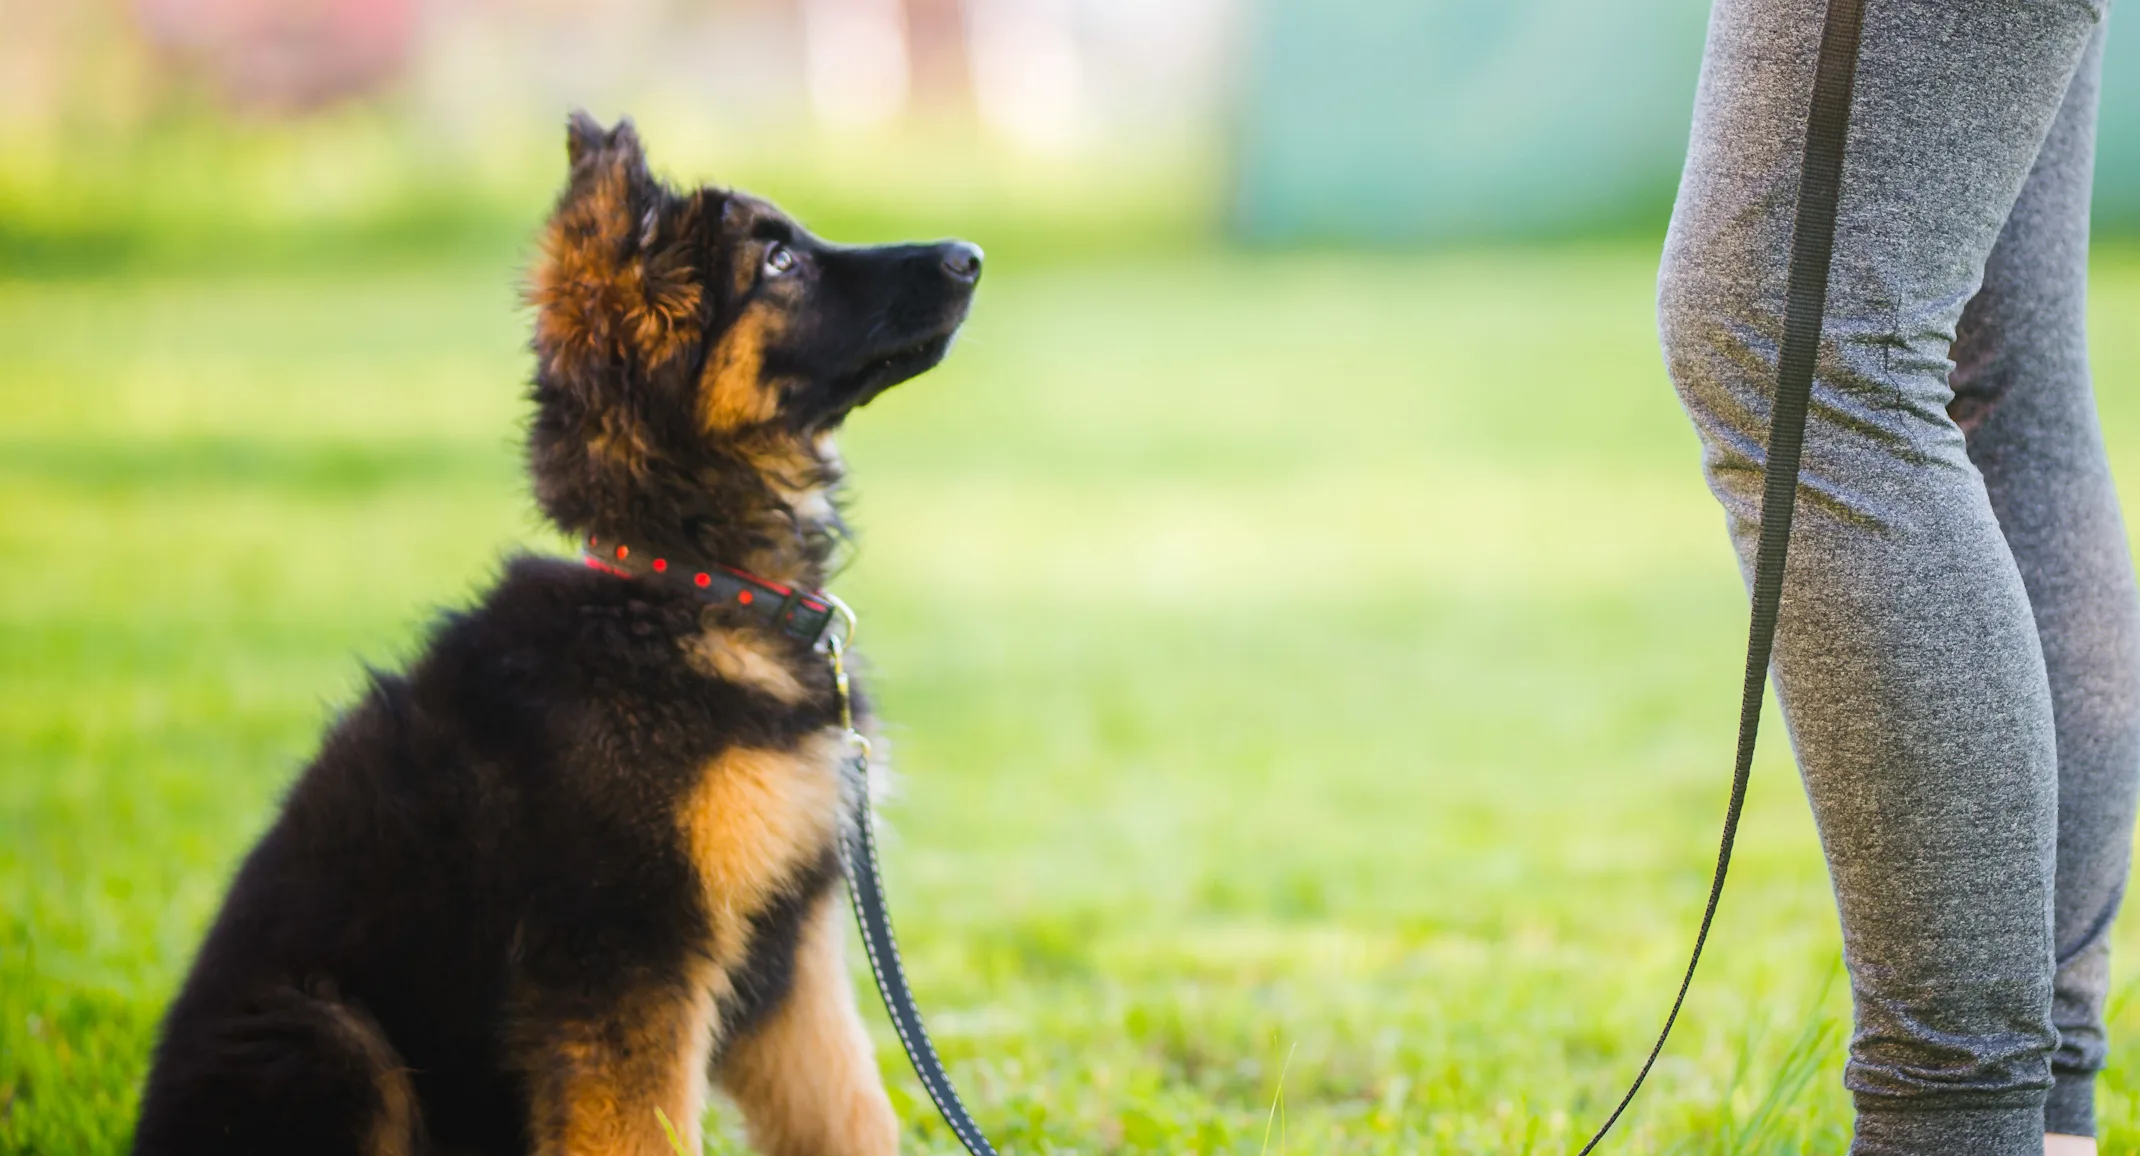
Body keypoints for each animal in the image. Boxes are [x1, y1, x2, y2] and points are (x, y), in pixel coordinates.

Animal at [125, 115, 980, 1156]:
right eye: (778, 262)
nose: (970, 255)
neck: (685, 589)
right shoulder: (626, 955)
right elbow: (645, 1131)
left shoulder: (793, 950)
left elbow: (852, 1111)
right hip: (329, 1038)